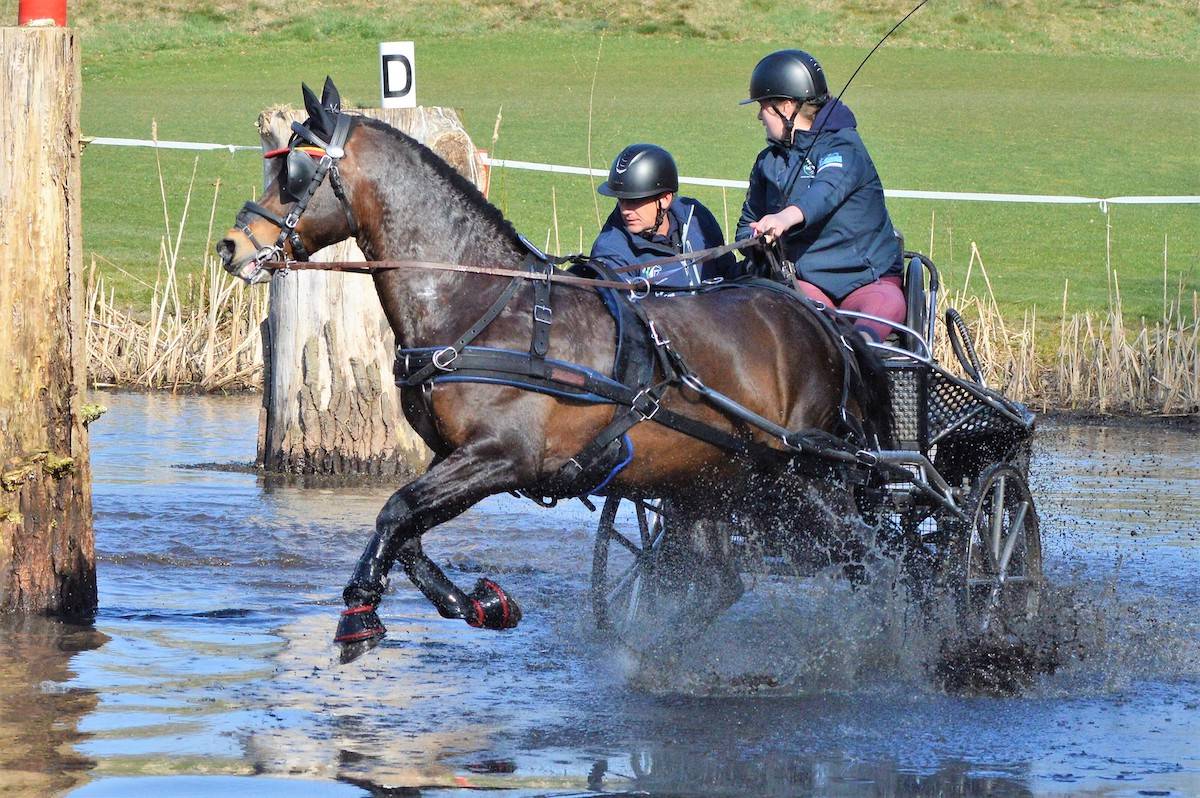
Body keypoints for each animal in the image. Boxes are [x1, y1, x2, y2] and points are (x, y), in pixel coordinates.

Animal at [217, 79, 894, 664]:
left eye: (294, 172)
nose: (232, 246)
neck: (479, 305)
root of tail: (819, 320)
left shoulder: (501, 457)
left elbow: (394, 511)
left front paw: (359, 615)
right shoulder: (453, 456)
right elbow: (407, 532)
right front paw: (479, 602)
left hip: (799, 475)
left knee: (872, 557)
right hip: (713, 480)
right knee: (725, 579)